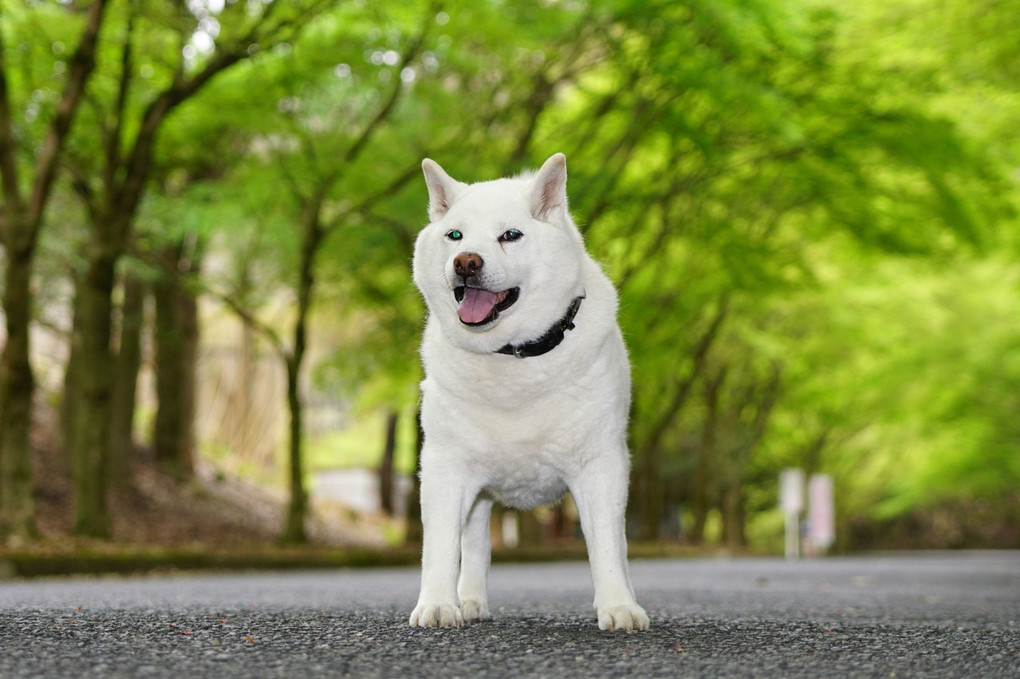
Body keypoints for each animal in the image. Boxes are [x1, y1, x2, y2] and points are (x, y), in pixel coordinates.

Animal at [405, 152, 644, 628]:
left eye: (510, 235)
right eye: (454, 235)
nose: (465, 262)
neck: (512, 356)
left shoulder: (600, 464)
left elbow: (607, 548)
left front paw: (618, 607)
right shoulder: (444, 466)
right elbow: (440, 547)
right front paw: (438, 604)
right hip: (477, 492)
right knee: (475, 543)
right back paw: (469, 600)